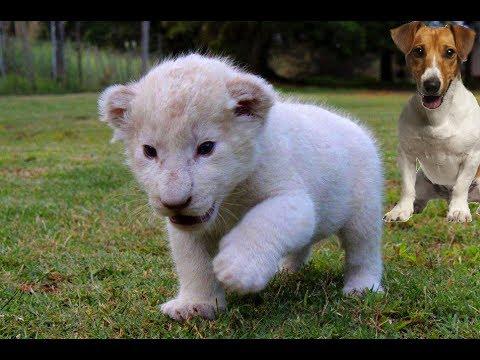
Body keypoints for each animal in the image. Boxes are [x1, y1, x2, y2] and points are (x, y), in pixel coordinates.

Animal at [386, 21, 480, 222]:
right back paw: (414, 206)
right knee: (417, 194)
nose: (431, 85)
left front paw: (458, 211)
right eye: (419, 50)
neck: (438, 115)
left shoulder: (472, 156)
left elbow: (461, 186)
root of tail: (445, 195)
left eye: (450, 52)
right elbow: (407, 187)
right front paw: (401, 210)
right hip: (423, 181)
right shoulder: (405, 153)